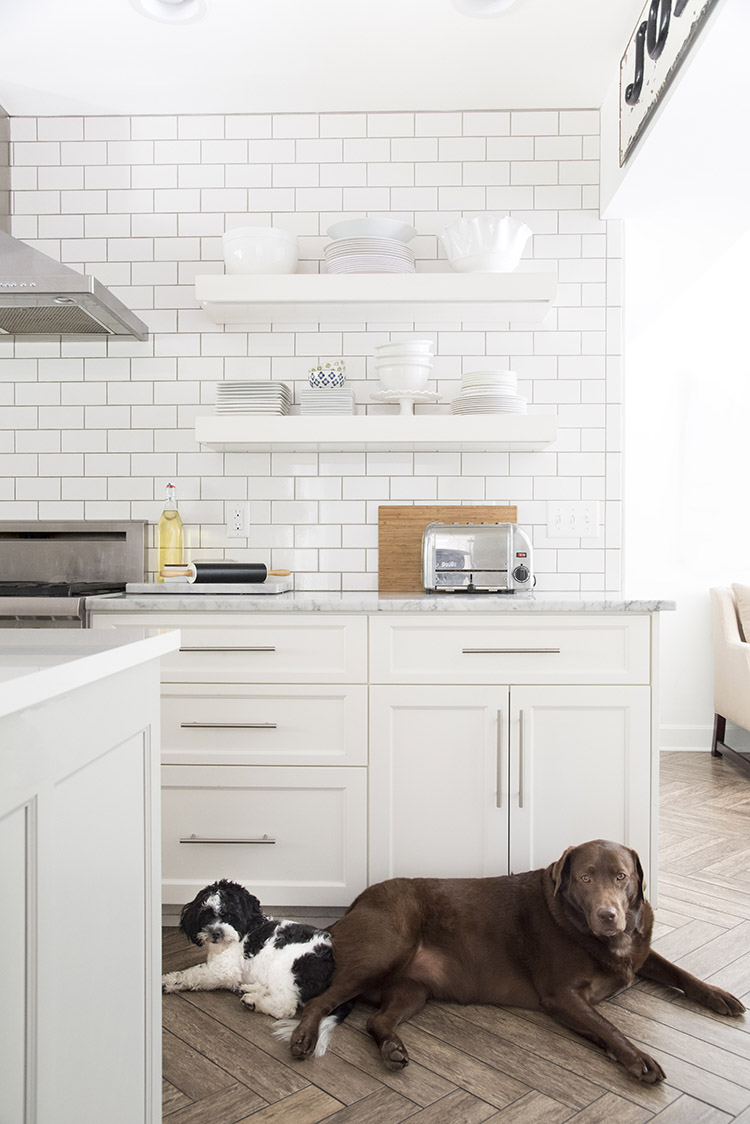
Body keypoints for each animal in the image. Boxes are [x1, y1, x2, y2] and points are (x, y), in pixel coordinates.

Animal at [161, 876, 348, 1052]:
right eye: (207, 915)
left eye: (230, 916)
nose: (215, 933)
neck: (245, 931)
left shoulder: (224, 970)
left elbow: (192, 973)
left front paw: (168, 981)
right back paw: (251, 989)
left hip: (285, 969)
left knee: (285, 1006)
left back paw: (254, 1001)